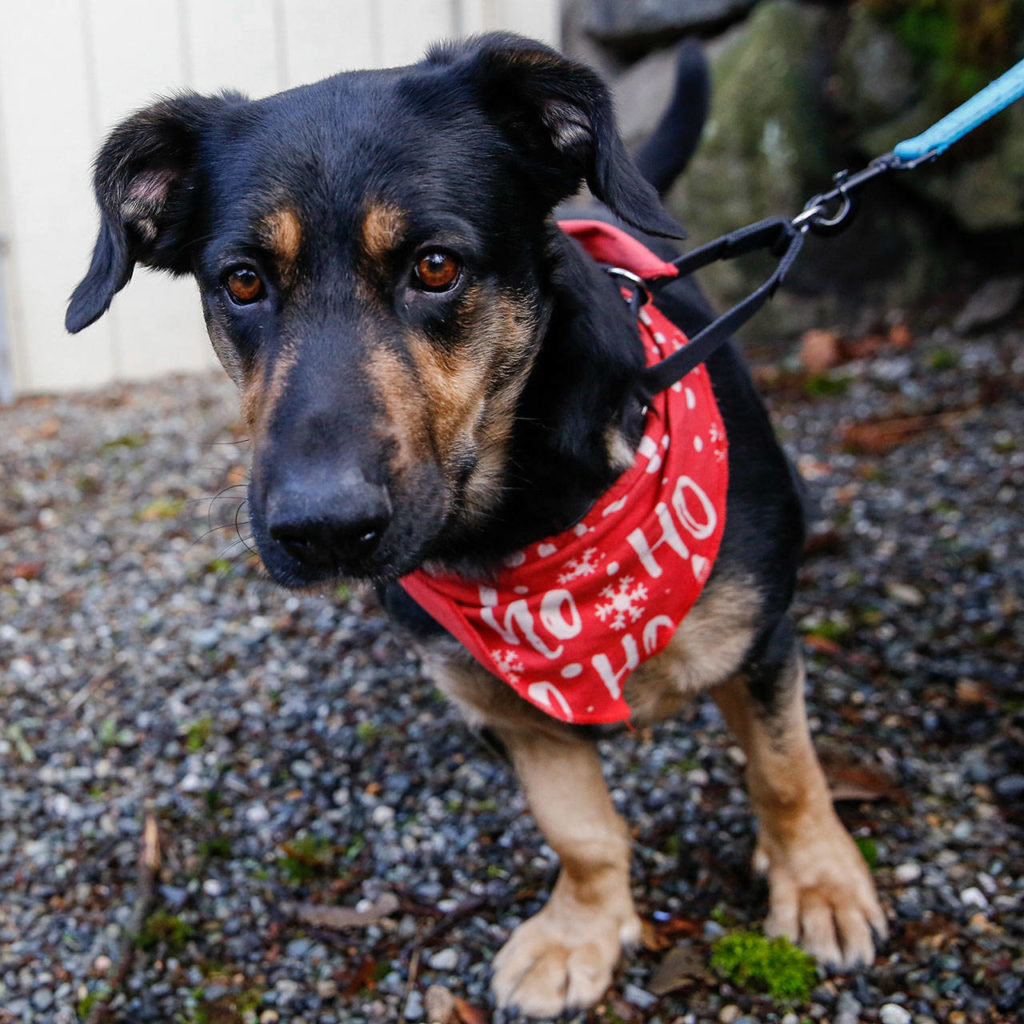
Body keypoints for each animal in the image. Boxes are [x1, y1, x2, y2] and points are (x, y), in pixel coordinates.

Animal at [66, 32, 888, 1015]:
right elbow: (580, 829)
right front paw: (582, 932)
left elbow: (786, 774)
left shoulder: (758, 634)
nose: (322, 527)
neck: (528, 533)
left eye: (434, 266)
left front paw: (820, 885)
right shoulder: (505, 707)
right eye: (242, 281)